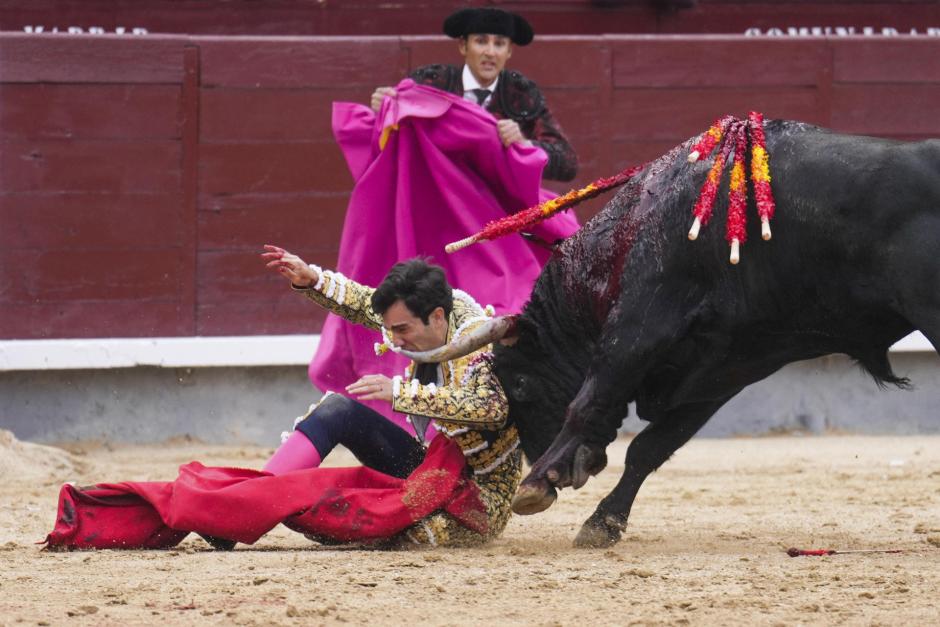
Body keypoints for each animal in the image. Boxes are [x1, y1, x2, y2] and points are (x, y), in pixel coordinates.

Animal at [410, 120, 932, 548]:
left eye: (519, 383)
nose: (544, 462)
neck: (632, 234)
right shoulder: (721, 371)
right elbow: (651, 446)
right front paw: (603, 521)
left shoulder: (639, 327)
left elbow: (588, 404)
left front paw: (540, 481)